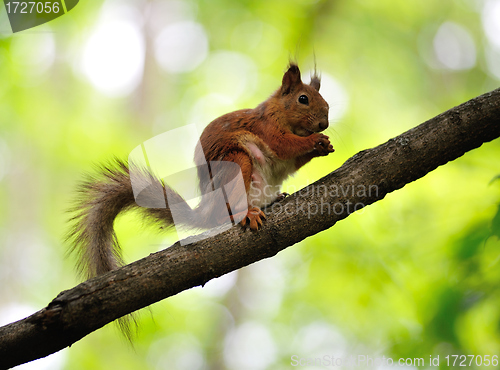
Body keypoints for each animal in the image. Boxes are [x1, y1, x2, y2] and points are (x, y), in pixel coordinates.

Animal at [66, 63, 332, 278]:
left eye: (326, 102)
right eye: (303, 99)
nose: (324, 124)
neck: (283, 116)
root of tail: (206, 212)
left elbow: (293, 160)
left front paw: (324, 146)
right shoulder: (267, 128)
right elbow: (284, 145)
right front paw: (315, 140)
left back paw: (274, 198)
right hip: (237, 164)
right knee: (228, 209)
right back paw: (246, 213)